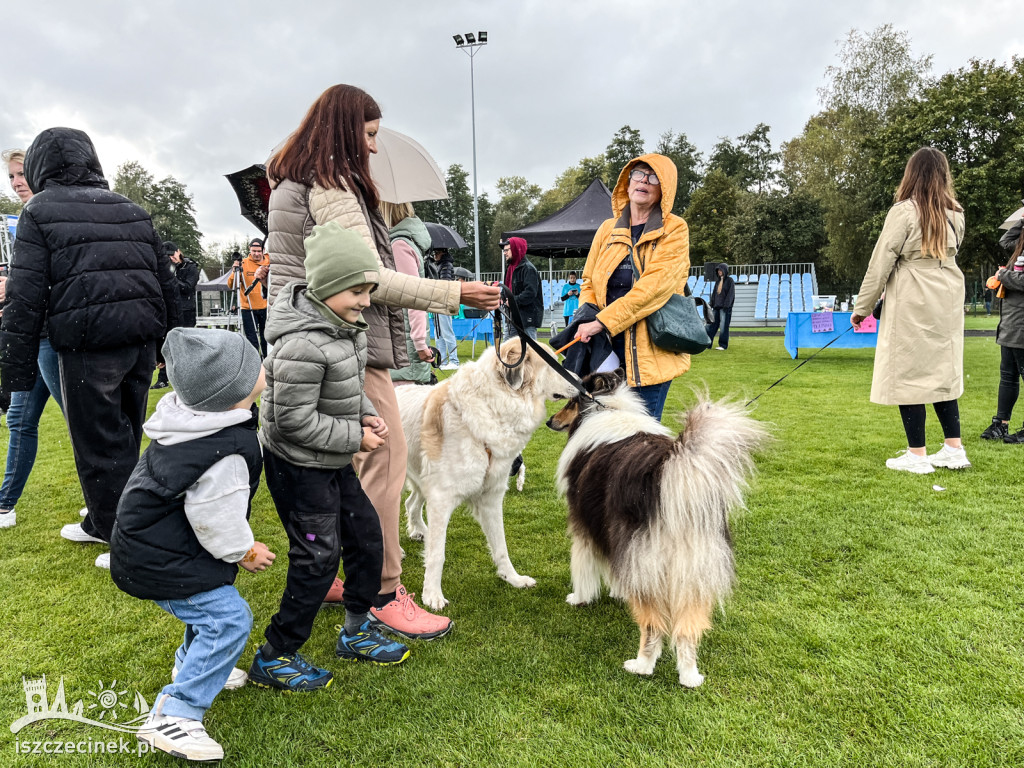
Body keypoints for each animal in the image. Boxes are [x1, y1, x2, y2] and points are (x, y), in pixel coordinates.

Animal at [395, 339, 581, 610]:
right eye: (550, 363)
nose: (580, 382)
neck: (495, 405)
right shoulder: (441, 498)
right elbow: (438, 555)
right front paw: (432, 595)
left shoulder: (491, 498)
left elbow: (501, 545)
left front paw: (512, 578)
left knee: (411, 504)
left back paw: (421, 532)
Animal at [548, 370, 765, 688]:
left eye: (572, 401)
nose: (550, 421)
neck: (609, 409)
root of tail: (670, 474)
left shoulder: (585, 526)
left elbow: (584, 567)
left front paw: (579, 598)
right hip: (694, 570)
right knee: (687, 631)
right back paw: (689, 676)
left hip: (652, 562)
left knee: (652, 626)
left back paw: (641, 665)